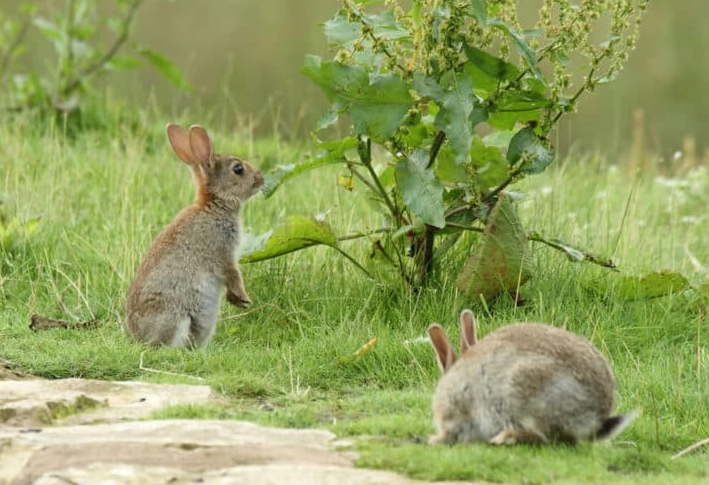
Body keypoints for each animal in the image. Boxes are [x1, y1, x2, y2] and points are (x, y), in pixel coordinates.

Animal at [125, 123, 264, 349]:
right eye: (238, 169)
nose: (261, 178)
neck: (214, 204)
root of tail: (139, 338)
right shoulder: (222, 252)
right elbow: (233, 275)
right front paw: (243, 299)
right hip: (176, 318)